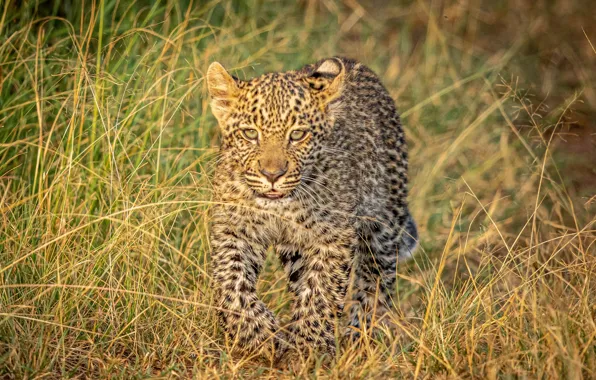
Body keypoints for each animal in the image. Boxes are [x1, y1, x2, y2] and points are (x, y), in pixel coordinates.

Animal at [207, 57, 416, 362]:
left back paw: (359, 337)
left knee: (376, 282)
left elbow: (324, 292)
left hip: (385, 223)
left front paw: (310, 347)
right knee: (301, 280)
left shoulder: (334, 237)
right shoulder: (233, 230)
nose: (272, 174)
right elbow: (231, 284)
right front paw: (261, 334)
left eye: (297, 135)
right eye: (249, 133)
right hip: (294, 249)